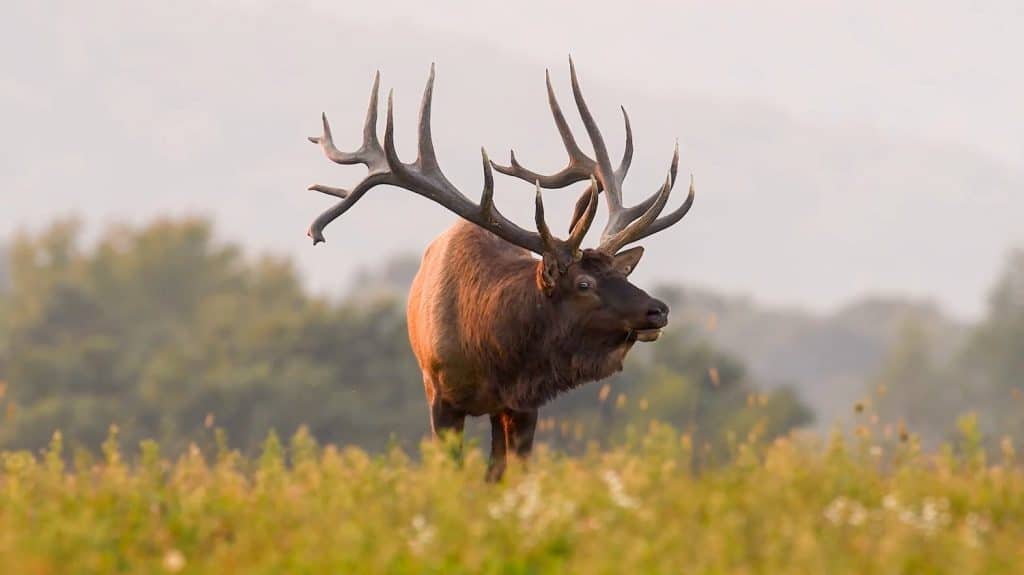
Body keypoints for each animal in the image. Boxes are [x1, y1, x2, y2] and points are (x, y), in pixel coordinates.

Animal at [305, 60, 695, 481]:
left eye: (623, 274)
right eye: (584, 283)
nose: (658, 309)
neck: (490, 352)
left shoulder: (524, 404)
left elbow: (510, 474)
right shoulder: (441, 395)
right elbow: (451, 471)